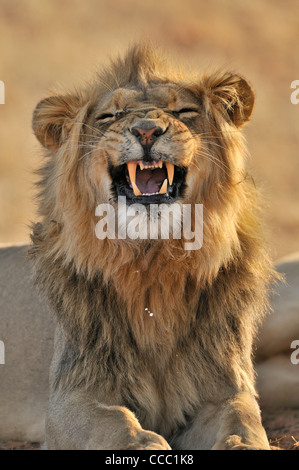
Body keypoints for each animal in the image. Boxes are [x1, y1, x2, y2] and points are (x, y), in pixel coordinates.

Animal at [27, 45, 278, 452]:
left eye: (184, 111)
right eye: (110, 115)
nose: (146, 130)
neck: (152, 260)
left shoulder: (224, 390)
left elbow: (243, 421)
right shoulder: (70, 397)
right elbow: (115, 424)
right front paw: (145, 445)